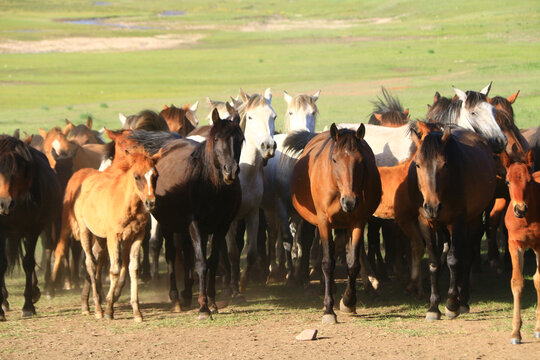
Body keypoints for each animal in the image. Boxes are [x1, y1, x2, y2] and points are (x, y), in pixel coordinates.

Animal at [262, 90, 320, 284]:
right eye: (291, 112)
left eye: (313, 112)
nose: (304, 136)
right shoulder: (279, 204)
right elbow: (286, 237)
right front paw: (289, 274)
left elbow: (302, 238)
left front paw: (300, 271)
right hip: (270, 209)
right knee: (275, 233)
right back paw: (274, 269)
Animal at [288, 123, 382, 324]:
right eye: (334, 160)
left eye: (361, 161)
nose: (350, 202)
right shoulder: (324, 222)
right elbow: (327, 262)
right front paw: (328, 309)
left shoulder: (357, 222)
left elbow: (353, 263)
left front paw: (348, 302)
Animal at [392, 125, 498, 320]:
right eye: (418, 164)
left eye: (445, 164)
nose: (432, 206)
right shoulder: (426, 223)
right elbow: (434, 262)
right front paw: (433, 307)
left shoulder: (458, 222)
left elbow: (454, 260)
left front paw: (451, 304)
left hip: (472, 220)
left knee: (466, 256)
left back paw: (462, 300)